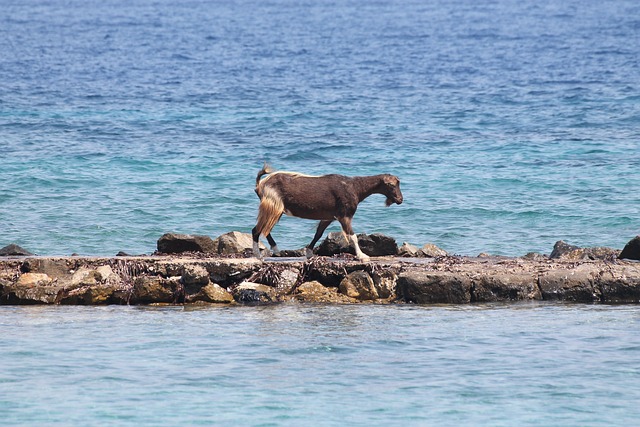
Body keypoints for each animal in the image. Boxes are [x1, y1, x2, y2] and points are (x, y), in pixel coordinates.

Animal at [251, 164, 403, 261]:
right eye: (391, 185)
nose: (400, 200)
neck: (355, 188)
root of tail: (260, 185)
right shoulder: (344, 215)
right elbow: (353, 236)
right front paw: (362, 256)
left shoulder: (328, 217)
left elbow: (318, 234)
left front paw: (309, 253)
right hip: (273, 205)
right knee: (257, 230)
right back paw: (259, 254)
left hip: (274, 208)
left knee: (264, 229)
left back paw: (274, 250)